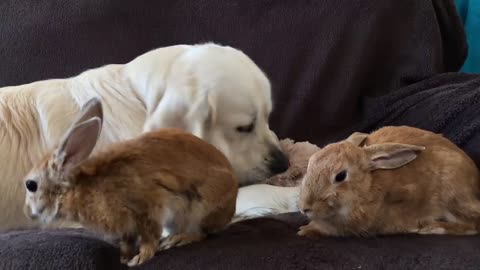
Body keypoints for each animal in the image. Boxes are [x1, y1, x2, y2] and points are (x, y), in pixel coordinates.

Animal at [22, 97, 238, 266]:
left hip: (199, 208)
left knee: (202, 233)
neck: (78, 189)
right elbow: (129, 242)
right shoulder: (127, 228)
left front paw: (140, 259)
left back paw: (177, 239)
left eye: (31, 185)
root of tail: (231, 206)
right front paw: (125, 258)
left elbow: (150, 237)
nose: (28, 213)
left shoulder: (148, 208)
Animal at [298, 125, 480, 237]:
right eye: (310, 163)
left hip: (453, 195)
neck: (367, 188)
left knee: (473, 224)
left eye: (340, 176)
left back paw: (433, 228)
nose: (304, 208)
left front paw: (306, 230)